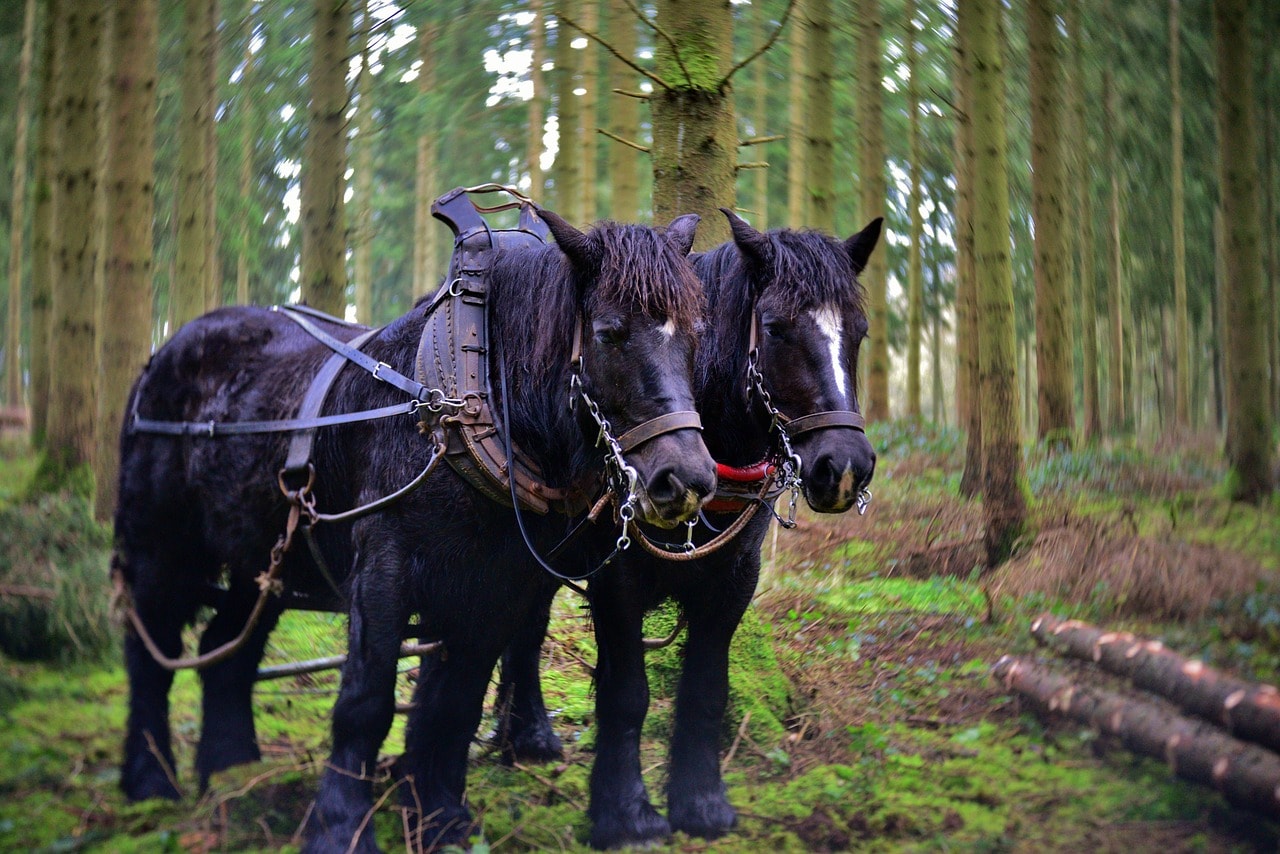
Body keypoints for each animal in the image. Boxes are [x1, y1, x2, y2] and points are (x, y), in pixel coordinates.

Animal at [113, 208, 721, 854]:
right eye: (609, 333)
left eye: (696, 335)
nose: (686, 478)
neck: (465, 403)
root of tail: (160, 356)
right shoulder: (385, 573)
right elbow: (365, 702)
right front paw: (339, 827)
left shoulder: (494, 591)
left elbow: (452, 705)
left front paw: (440, 818)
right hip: (160, 550)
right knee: (150, 649)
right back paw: (151, 781)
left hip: (267, 561)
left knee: (226, 649)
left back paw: (232, 771)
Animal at [488, 212, 880, 850]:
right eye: (775, 328)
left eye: (860, 331)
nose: (844, 466)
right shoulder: (616, 581)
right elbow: (626, 695)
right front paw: (625, 815)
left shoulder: (734, 581)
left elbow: (706, 690)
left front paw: (701, 803)